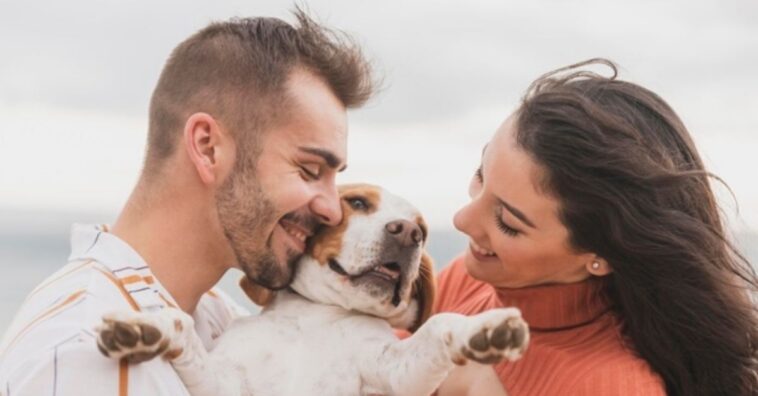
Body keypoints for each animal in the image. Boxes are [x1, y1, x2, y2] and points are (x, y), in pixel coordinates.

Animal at [98, 184, 532, 394]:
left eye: (423, 230)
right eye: (357, 202)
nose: (408, 233)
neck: (316, 317)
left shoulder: (392, 371)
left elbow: (439, 325)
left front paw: (482, 330)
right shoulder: (223, 383)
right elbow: (182, 330)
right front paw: (145, 329)